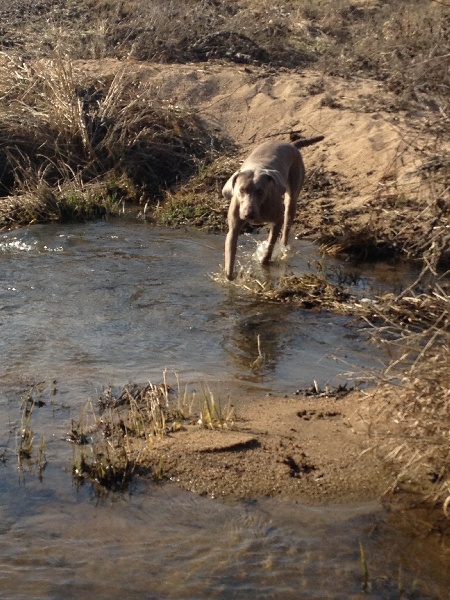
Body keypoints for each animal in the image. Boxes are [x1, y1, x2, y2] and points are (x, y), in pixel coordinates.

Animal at [221, 135, 324, 280]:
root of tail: (291, 145)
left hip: (292, 196)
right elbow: (230, 253)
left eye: (260, 191)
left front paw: (264, 263)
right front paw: (229, 277)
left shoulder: (277, 219)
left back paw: (284, 247)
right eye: (241, 190)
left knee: (286, 226)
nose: (249, 214)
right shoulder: (233, 227)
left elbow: (270, 244)